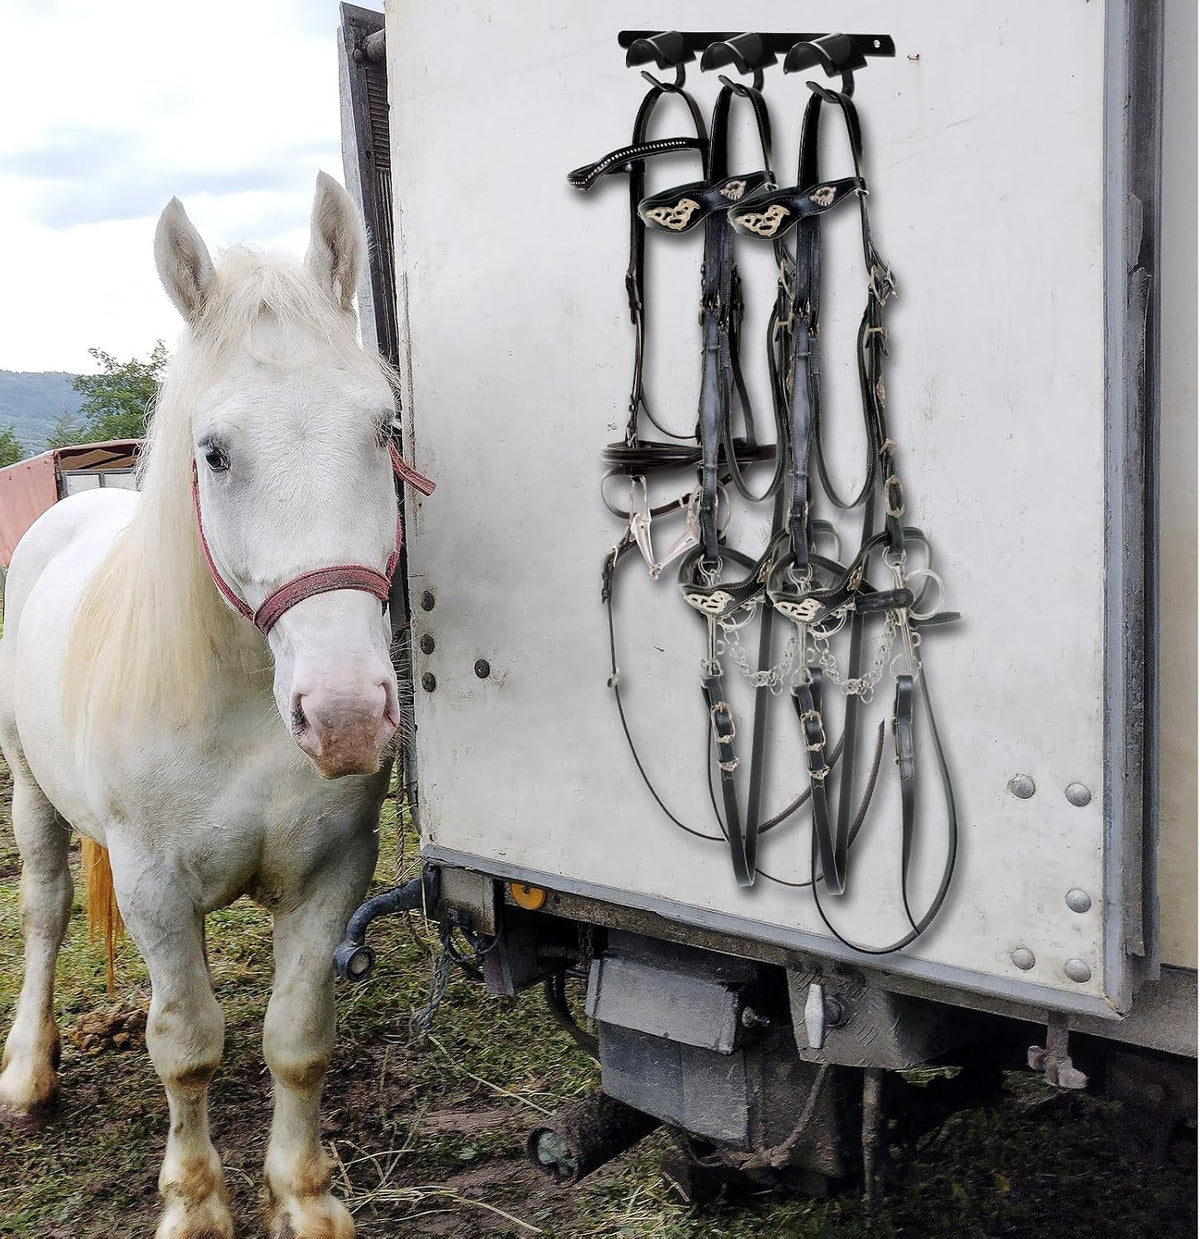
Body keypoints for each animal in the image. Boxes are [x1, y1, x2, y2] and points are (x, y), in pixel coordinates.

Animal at [0, 173, 418, 1239]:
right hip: (31, 793)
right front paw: (194, 1204)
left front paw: (302, 1196)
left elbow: (296, 1039)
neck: (240, 708)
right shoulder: (153, 882)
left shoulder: (332, 873)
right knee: (45, 912)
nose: (345, 713)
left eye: (383, 429)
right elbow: (185, 1046)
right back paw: (28, 1070)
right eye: (216, 452)